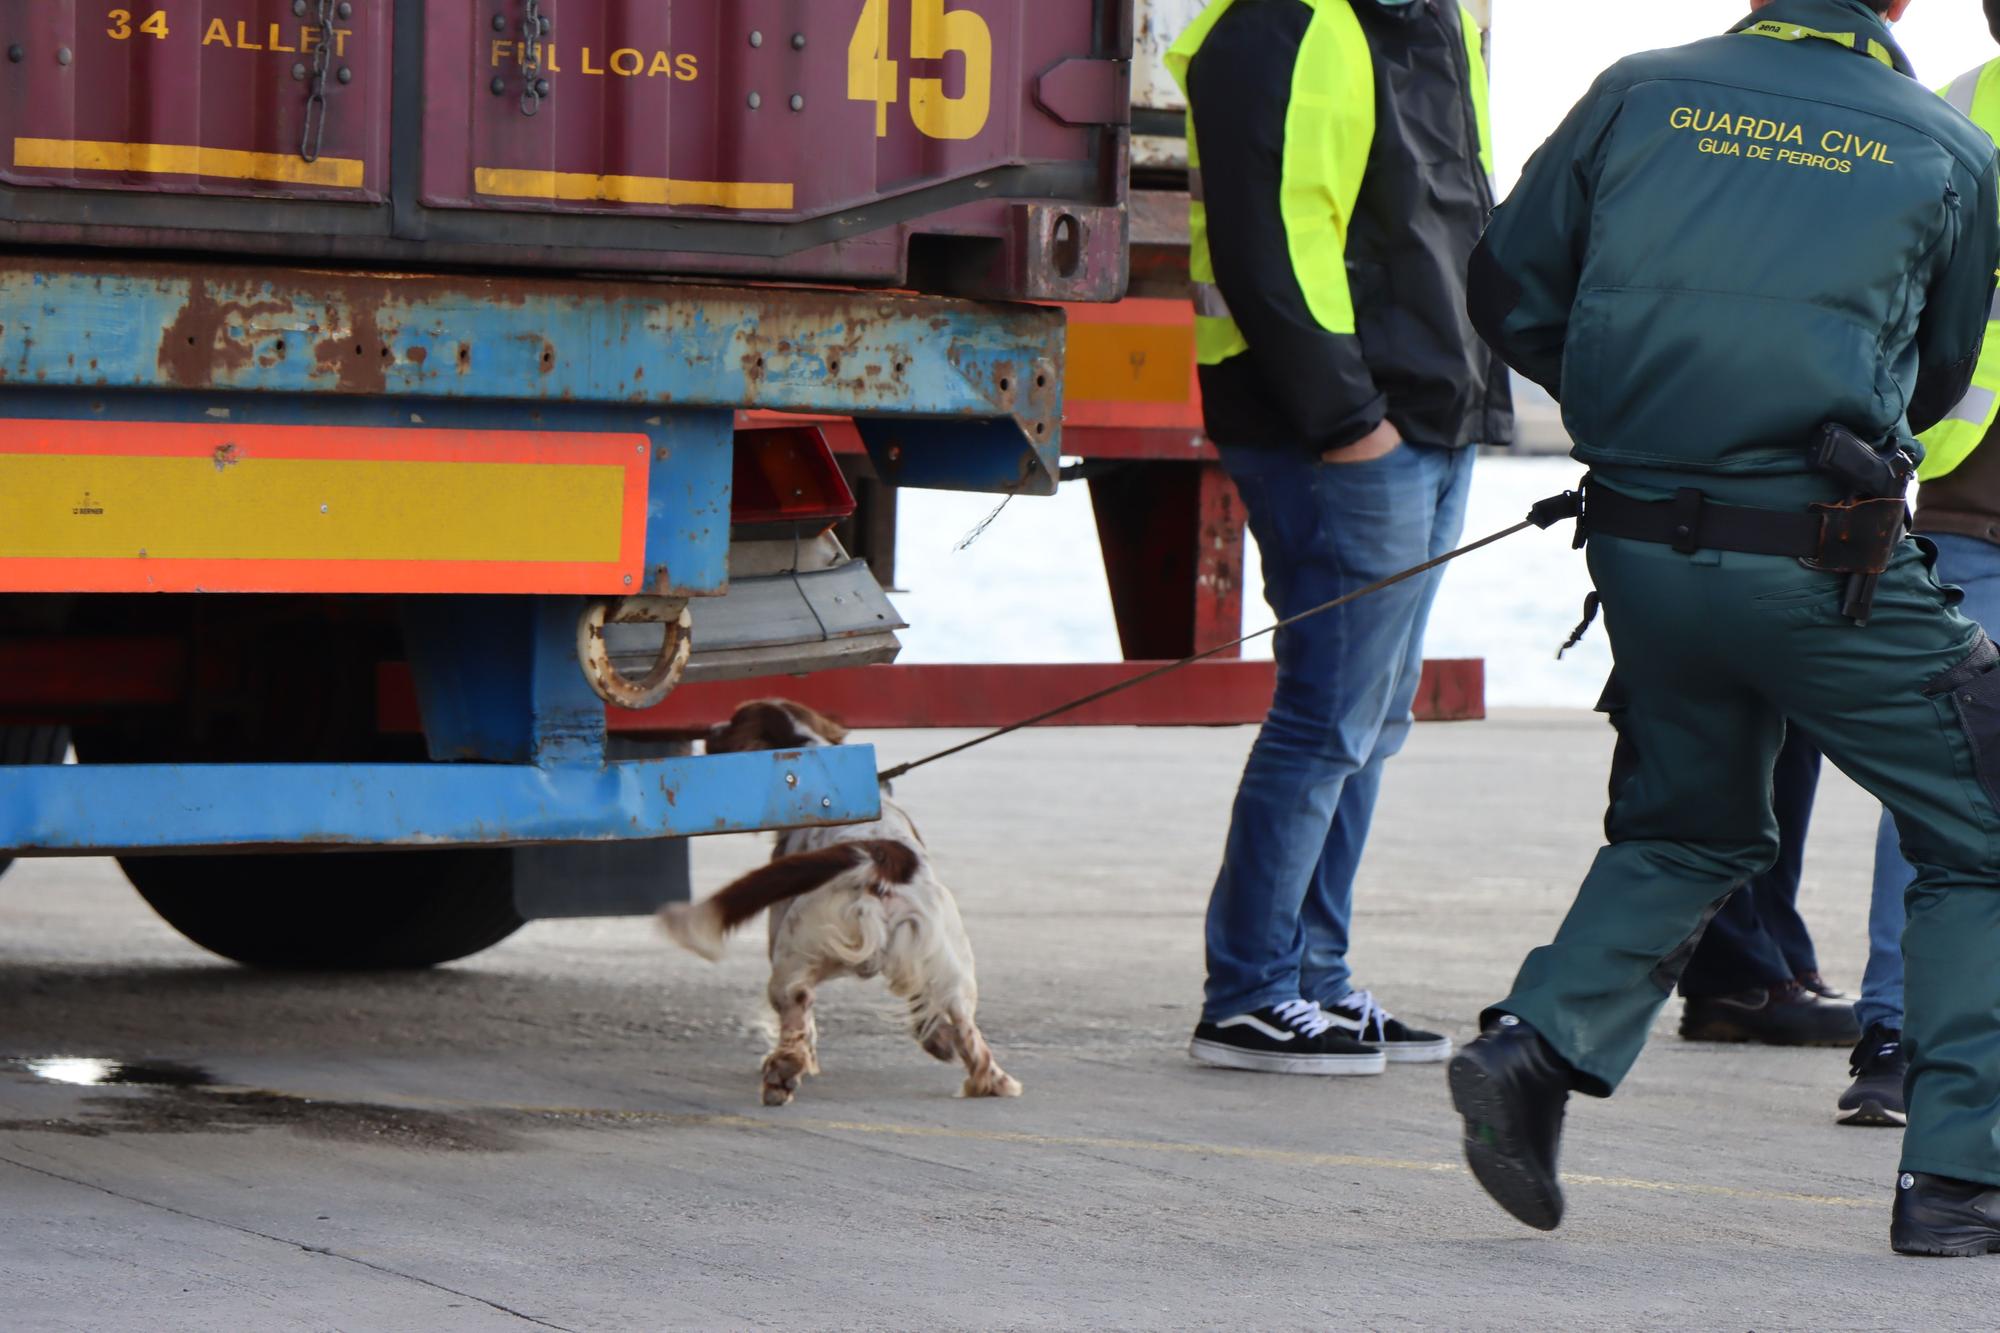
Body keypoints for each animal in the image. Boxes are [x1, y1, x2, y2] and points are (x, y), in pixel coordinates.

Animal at [664, 700, 1024, 1104]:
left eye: (736, 720)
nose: (707, 729)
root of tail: (877, 860)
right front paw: (937, 1039)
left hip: (794, 948)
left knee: (797, 1002)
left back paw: (782, 1074)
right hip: (949, 959)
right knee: (967, 1027)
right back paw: (990, 1080)